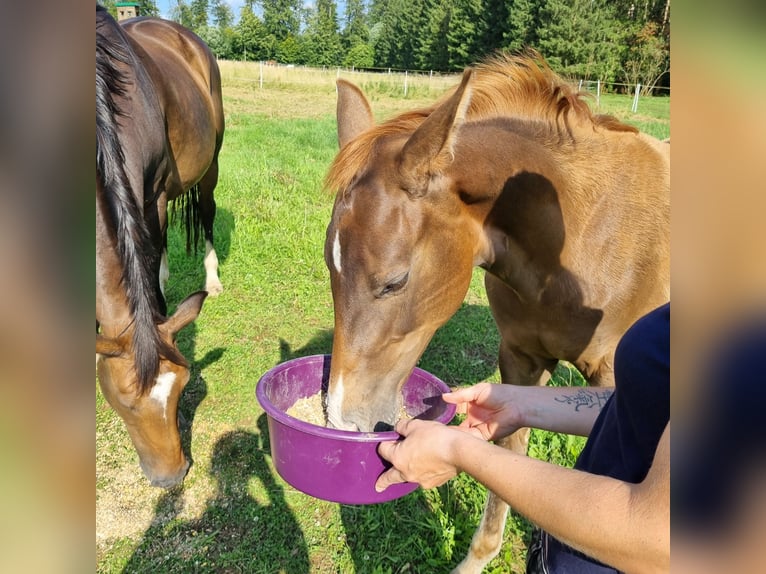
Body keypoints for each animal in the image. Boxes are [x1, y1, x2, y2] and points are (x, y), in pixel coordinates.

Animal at [94, 6, 224, 488]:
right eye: (122, 401)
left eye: (185, 387)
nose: (172, 476)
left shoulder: (151, 194)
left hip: (205, 169)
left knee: (204, 214)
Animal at [324, 53, 672, 572]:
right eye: (330, 267)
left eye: (395, 281)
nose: (341, 420)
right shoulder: (520, 360)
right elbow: (509, 450)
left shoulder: (611, 376)